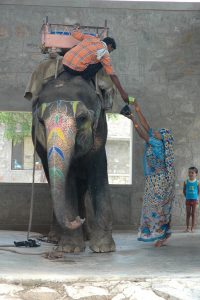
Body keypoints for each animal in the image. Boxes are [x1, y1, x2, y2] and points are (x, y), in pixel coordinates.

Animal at [30, 68, 115, 253]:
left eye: (82, 118)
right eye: (40, 122)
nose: (77, 219)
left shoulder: (100, 131)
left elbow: (98, 174)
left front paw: (104, 249)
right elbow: (67, 182)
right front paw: (70, 249)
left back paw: (86, 236)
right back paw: (57, 238)